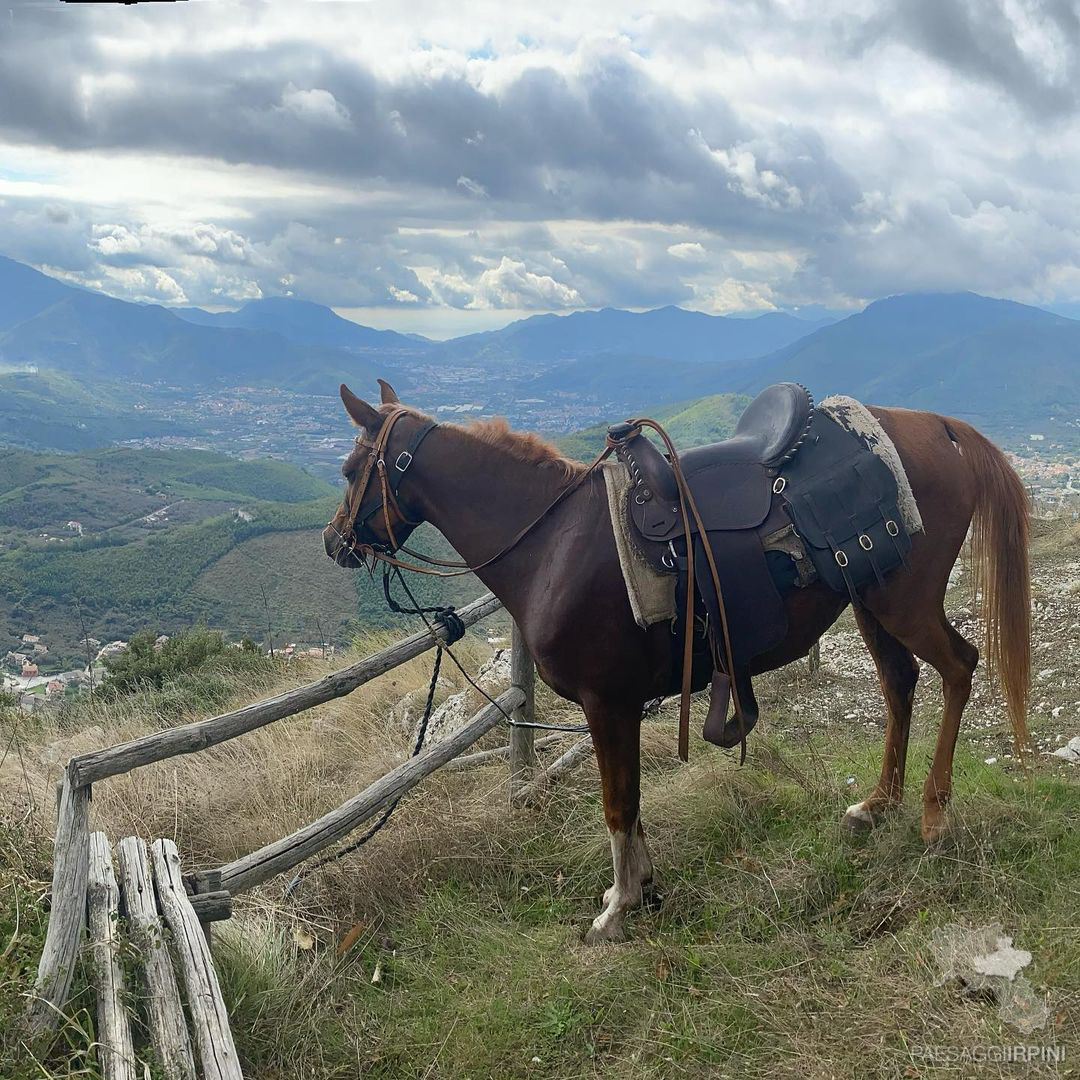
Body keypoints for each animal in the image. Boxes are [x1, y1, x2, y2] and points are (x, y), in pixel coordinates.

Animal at [324, 380, 1032, 946]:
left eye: (351, 467)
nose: (335, 542)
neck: (552, 542)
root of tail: (942, 427)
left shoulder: (607, 702)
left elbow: (617, 803)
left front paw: (619, 909)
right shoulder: (620, 707)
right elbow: (631, 801)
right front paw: (638, 888)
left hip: (905, 602)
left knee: (960, 667)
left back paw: (934, 815)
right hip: (870, 599)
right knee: (900, 684)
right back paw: (878, 804)